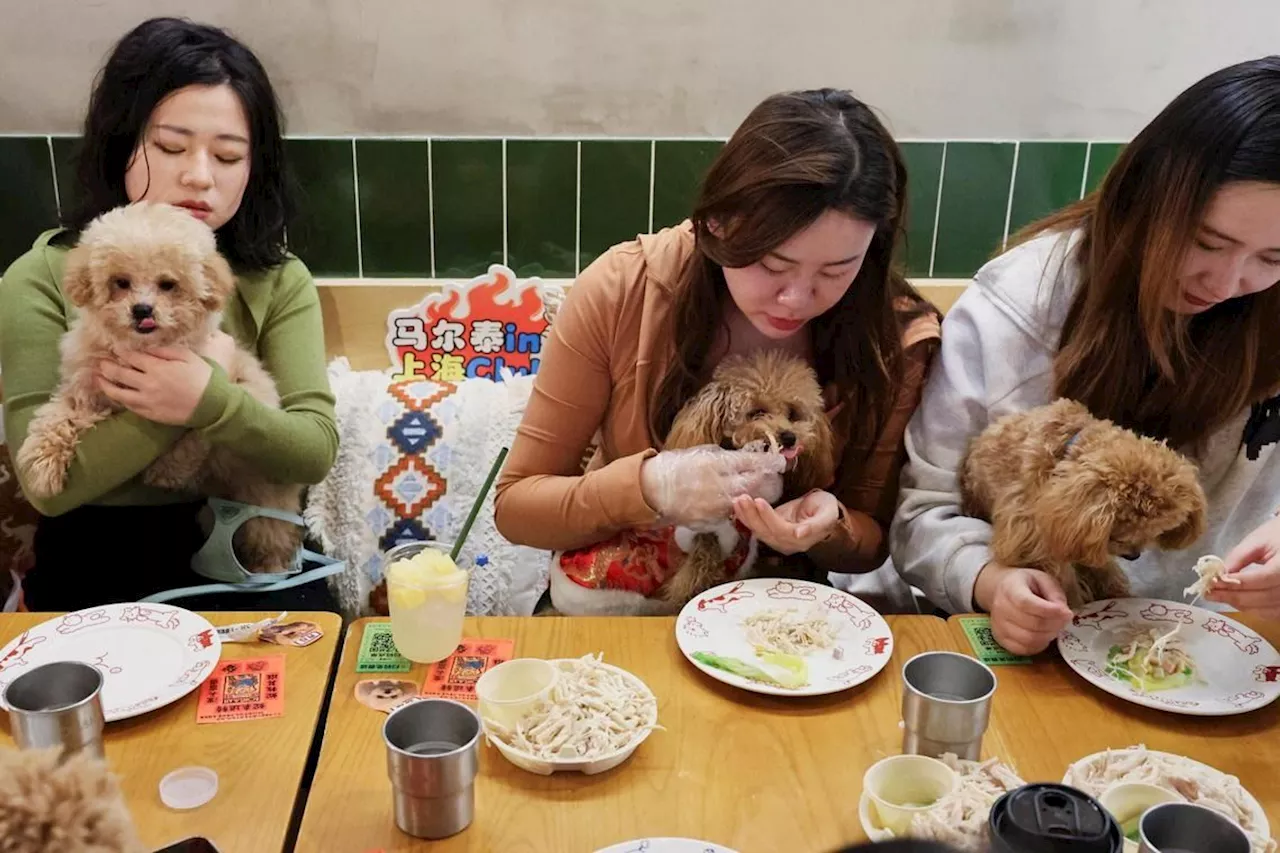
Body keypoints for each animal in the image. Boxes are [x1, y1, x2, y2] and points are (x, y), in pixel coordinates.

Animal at [962, 397, 1208, 604]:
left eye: (1156, 529)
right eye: (1124, 526)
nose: (1134, 555)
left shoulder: (1076, 532)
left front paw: (1115, 591)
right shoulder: (1032, 530)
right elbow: (1061, 571)